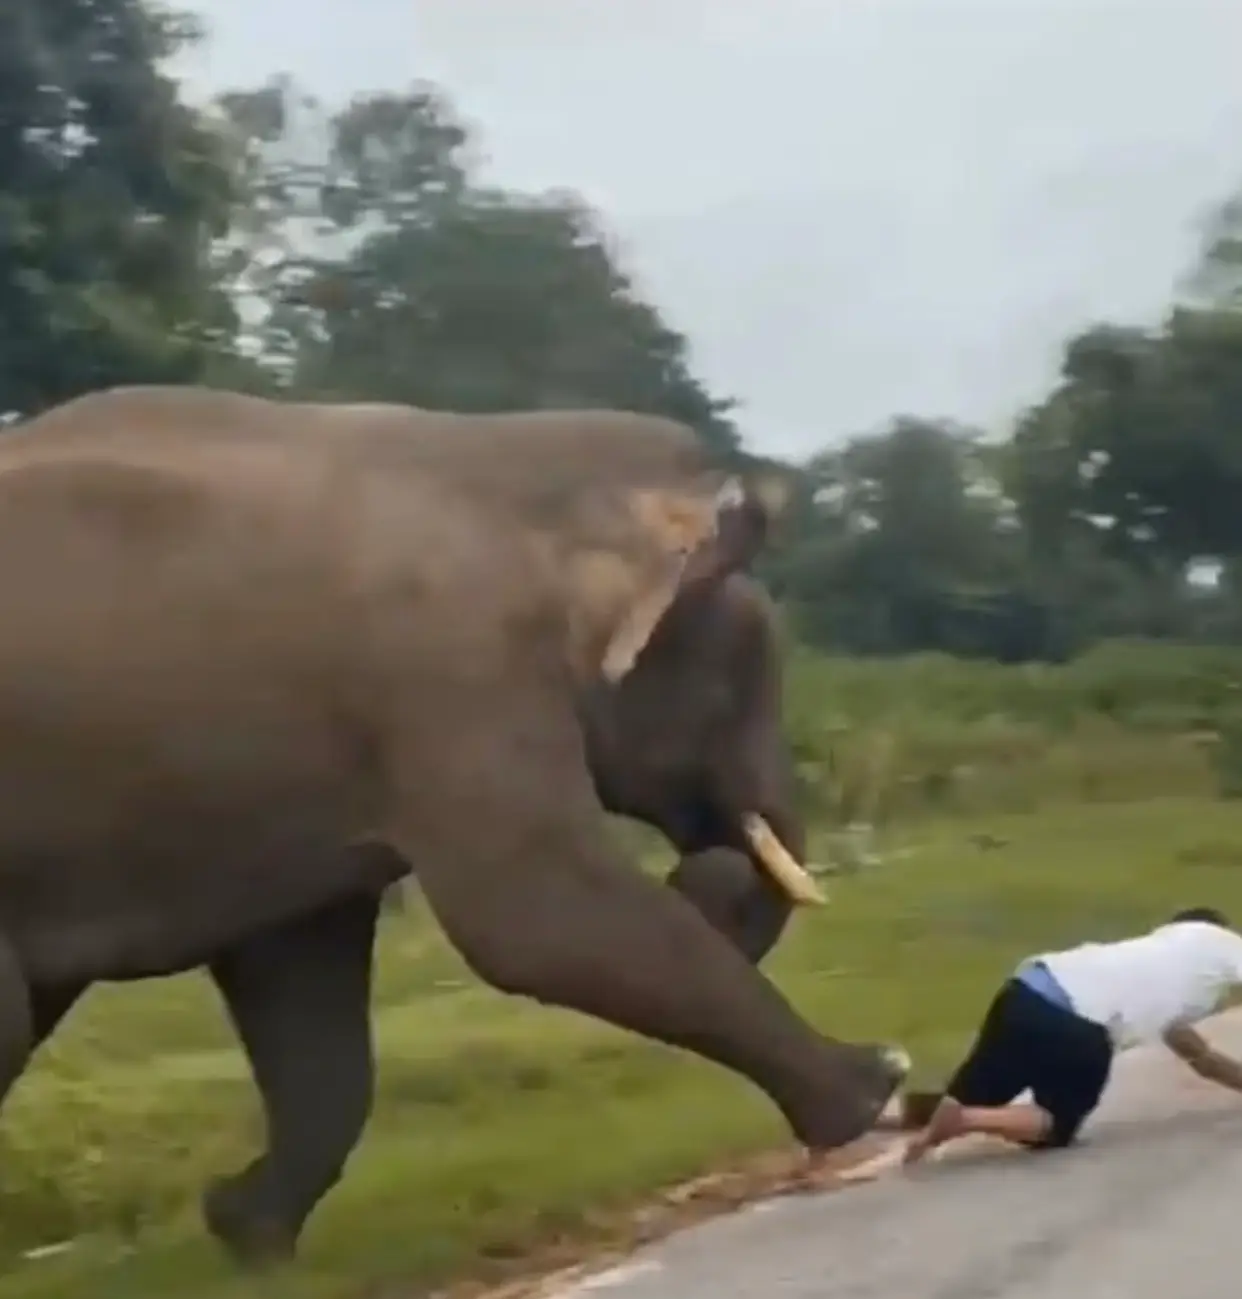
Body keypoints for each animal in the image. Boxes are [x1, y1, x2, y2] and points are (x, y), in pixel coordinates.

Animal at [0, 389, 908, 1263]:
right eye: (738, 684)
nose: (708, 867)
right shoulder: (450, 678)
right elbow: (533, 920)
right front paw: (878, 1082)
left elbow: (302, 985)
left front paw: (244, 1228)